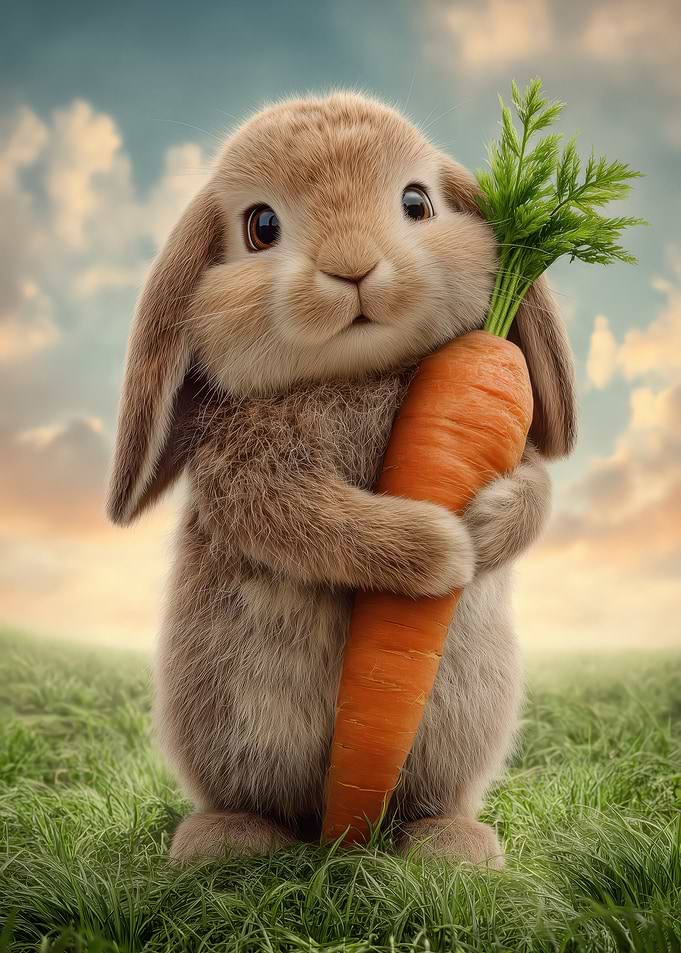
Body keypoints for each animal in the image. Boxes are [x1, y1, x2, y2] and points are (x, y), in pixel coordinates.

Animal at [107, 91, 576, 868]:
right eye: (261, 226)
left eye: (416, 202)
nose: (353, 267)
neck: (358, 372)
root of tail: (328, 826)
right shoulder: (250, 472)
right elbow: (314, 521)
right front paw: (442, 546)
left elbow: (537, 490)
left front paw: (483, 527)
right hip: (227, 722)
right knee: (253, 795)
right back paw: (225, 842)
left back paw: (452, 846)